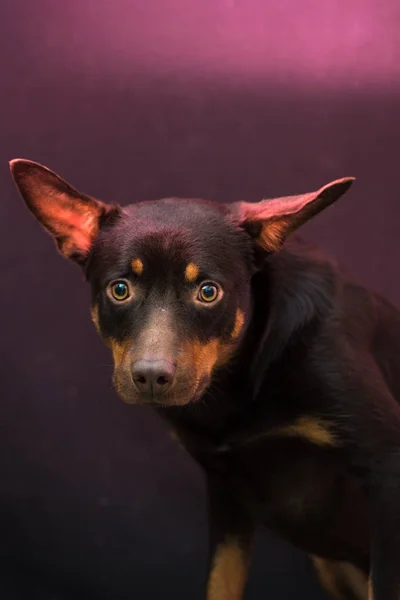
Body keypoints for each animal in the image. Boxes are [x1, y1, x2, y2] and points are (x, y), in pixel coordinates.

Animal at [9, 159, 400, 600]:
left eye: (208, 292)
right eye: (120, 289)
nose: (150, 376)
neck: (236, 381)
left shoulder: (387, 470)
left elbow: (385, 584)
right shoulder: (226, 492)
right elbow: (220, 582)